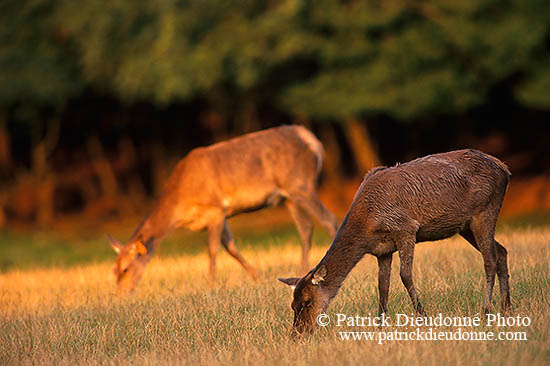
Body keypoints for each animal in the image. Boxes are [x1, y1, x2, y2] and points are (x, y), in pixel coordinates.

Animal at [108, 126, 338, 294]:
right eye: (114, 270)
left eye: (126, 268)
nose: (120, 295)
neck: (182, 204)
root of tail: (314, 142)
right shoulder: (220, 214)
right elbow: (231, 247)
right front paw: (258, 278)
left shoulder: (215, 209)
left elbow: (213, 249)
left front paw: (210, 284)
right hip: (288, 196)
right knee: (306, 227)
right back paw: (301, 271)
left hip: (300, 185)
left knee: (330, 219)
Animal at [282, 149, 516, 334]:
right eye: (292, 306)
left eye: (307, 302)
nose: (298, 334)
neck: (368, 224)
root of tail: (505, 169)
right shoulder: (382, 250)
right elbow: (382, 286)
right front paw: (379, 325)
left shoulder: (406, 229)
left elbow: (405, 275)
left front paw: (423, 316)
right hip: (466, 226)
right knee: (502, 251)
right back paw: (506, 308)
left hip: (484, 210)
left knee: (489, 260)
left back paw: (486, 311)